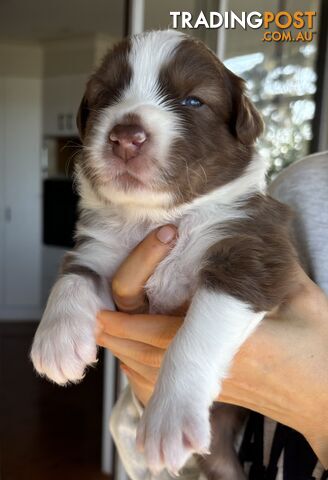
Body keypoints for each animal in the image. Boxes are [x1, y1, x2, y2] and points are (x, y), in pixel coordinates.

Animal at [30, 31, 298, 480]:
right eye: (106, 96)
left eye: (193, 101)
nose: (126, 136)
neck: (159, 217)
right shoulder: (102, 247)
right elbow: (73, 275)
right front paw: (57, 339)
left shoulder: (252, 253)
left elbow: (199, 329)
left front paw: (169, 417)